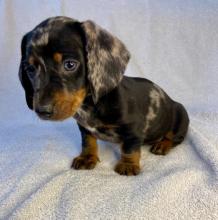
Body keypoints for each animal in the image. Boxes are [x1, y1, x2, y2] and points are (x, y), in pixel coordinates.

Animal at [18, 16, 189, 176]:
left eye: (70, 64)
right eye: (30, 69)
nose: (42, 111)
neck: (89, 105)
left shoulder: (133, 128)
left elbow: (130, 147)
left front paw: (128, 165)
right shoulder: (84, 128)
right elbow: (88, 142)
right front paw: (87, 157)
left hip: (180, 117)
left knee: (175, 138)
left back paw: (163, 145)